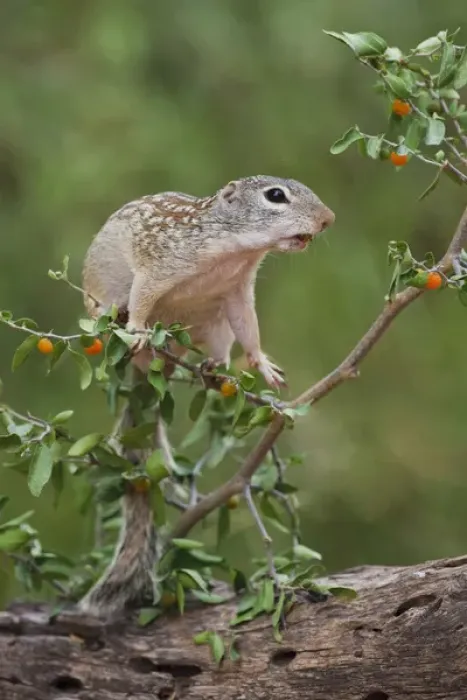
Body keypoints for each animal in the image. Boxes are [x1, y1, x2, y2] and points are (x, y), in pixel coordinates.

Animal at [78, 175, 335, 617]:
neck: (234, 254)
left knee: (216, 350)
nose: (328, 219)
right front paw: (140, 328)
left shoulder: (237, 293)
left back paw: (213, 369)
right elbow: (143, 298)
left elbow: (250, 330)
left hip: (214, 328)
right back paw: (120, 327)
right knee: (110, 311)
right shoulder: (158, 265)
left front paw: (262, 363)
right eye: (276, 196)